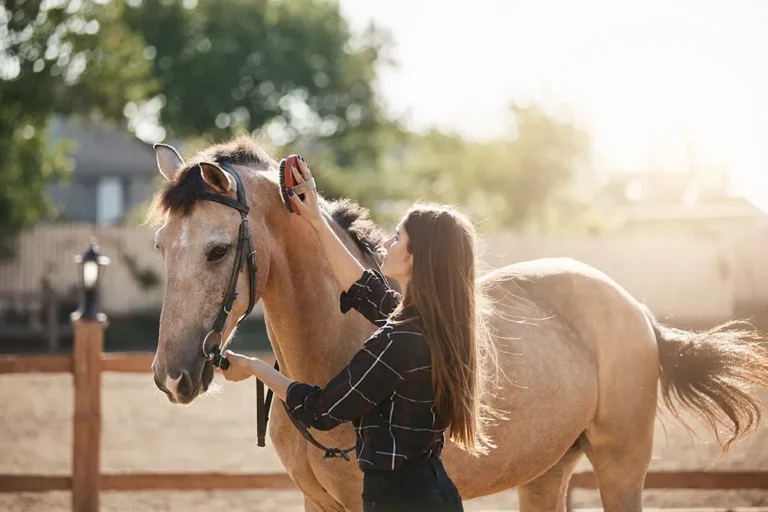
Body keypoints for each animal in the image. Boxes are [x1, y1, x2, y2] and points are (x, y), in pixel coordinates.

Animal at [149, 135, 768, 512]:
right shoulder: (316, 502)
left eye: (216, 249)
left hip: (622, 468)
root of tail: (636, 311)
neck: (334, 348)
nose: (171, 377)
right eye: (159, 245)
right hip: (546, 473)